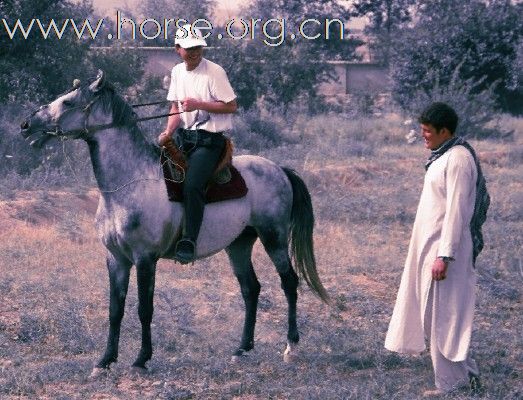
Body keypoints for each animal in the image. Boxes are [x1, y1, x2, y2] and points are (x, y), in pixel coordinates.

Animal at [21, 70, 332, 374]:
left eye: (68, 102)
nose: (27, 125)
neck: (129, 183)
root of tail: (279, 169)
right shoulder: (116, 259)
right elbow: (115, 310)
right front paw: (105, 361)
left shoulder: (145, 259)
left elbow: (144, 309)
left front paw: (141, 359)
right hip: (239, 244)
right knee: (250, 288)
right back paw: (242, 350)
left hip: (273, 237)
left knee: (289, 282)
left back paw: (291, 347)